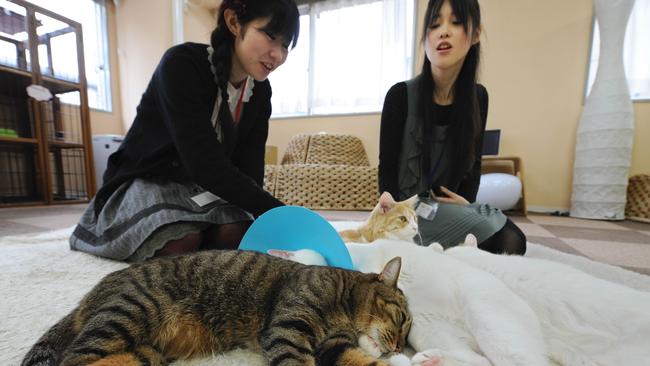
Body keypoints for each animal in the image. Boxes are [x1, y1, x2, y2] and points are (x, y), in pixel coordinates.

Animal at [25, 250, 412, 364]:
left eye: (407, 335)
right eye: (401, 319)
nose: (398, 348)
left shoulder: (333, 345)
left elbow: (360, 360)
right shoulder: (289, 328)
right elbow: (297, 362)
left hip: (143, 352)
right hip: (129, 312)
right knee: (73, 358)